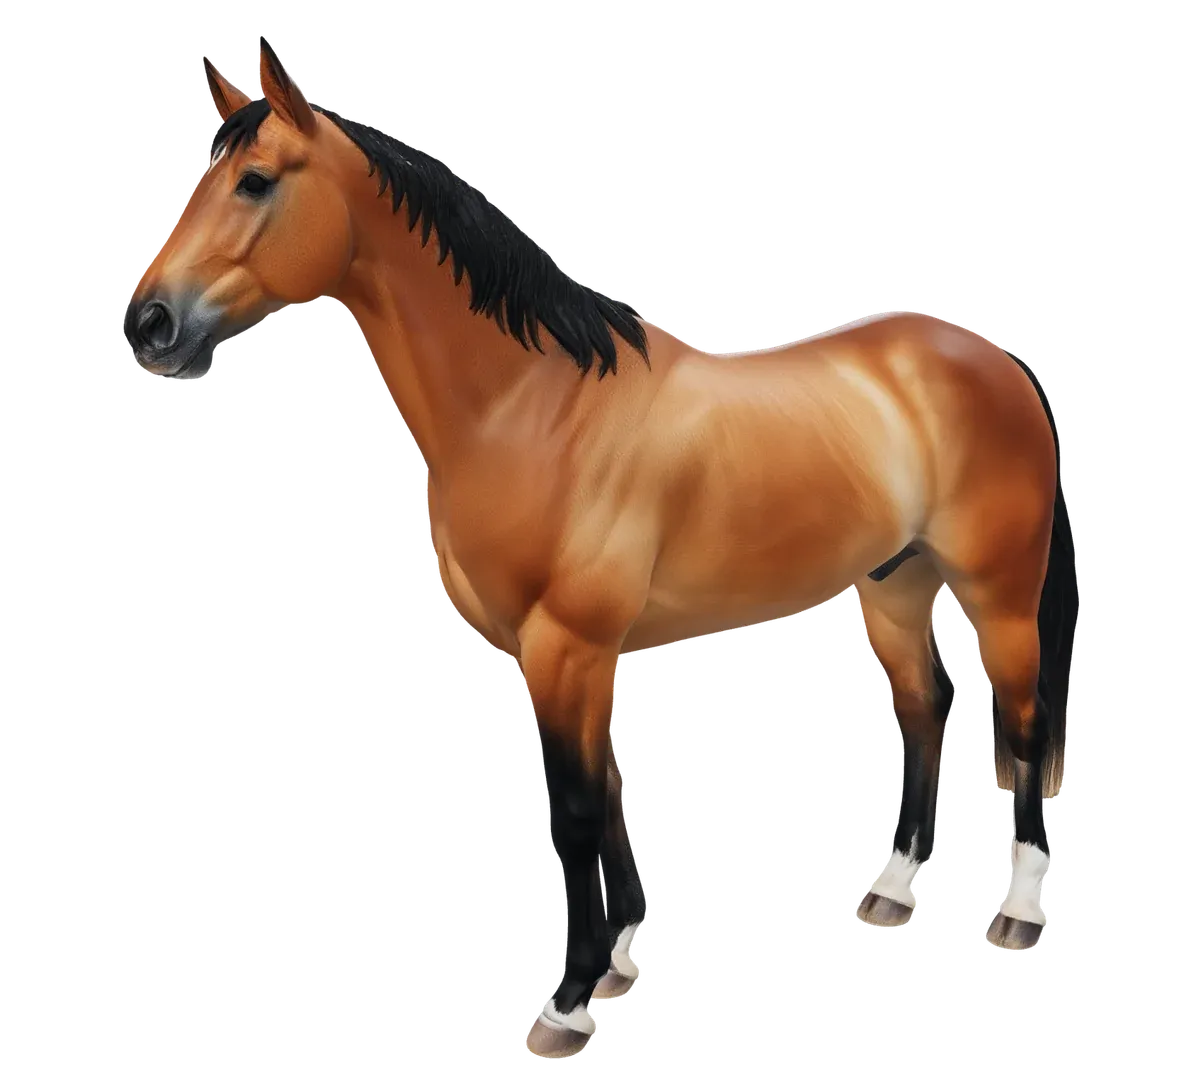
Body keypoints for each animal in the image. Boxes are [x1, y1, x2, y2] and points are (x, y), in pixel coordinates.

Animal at [122, 37, 1080, 1059]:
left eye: (255, 180)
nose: (147, 324)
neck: (533, 405)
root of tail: (994, 360)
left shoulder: (568, 647)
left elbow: (578, 814)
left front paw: (569, 1002)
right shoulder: (556, 656)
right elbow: (610, 796)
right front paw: (619, 965)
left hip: (999, 592)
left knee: (1024, 722)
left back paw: (1019, 913)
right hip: (894, 589)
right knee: (923, 709)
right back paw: (893, 892)